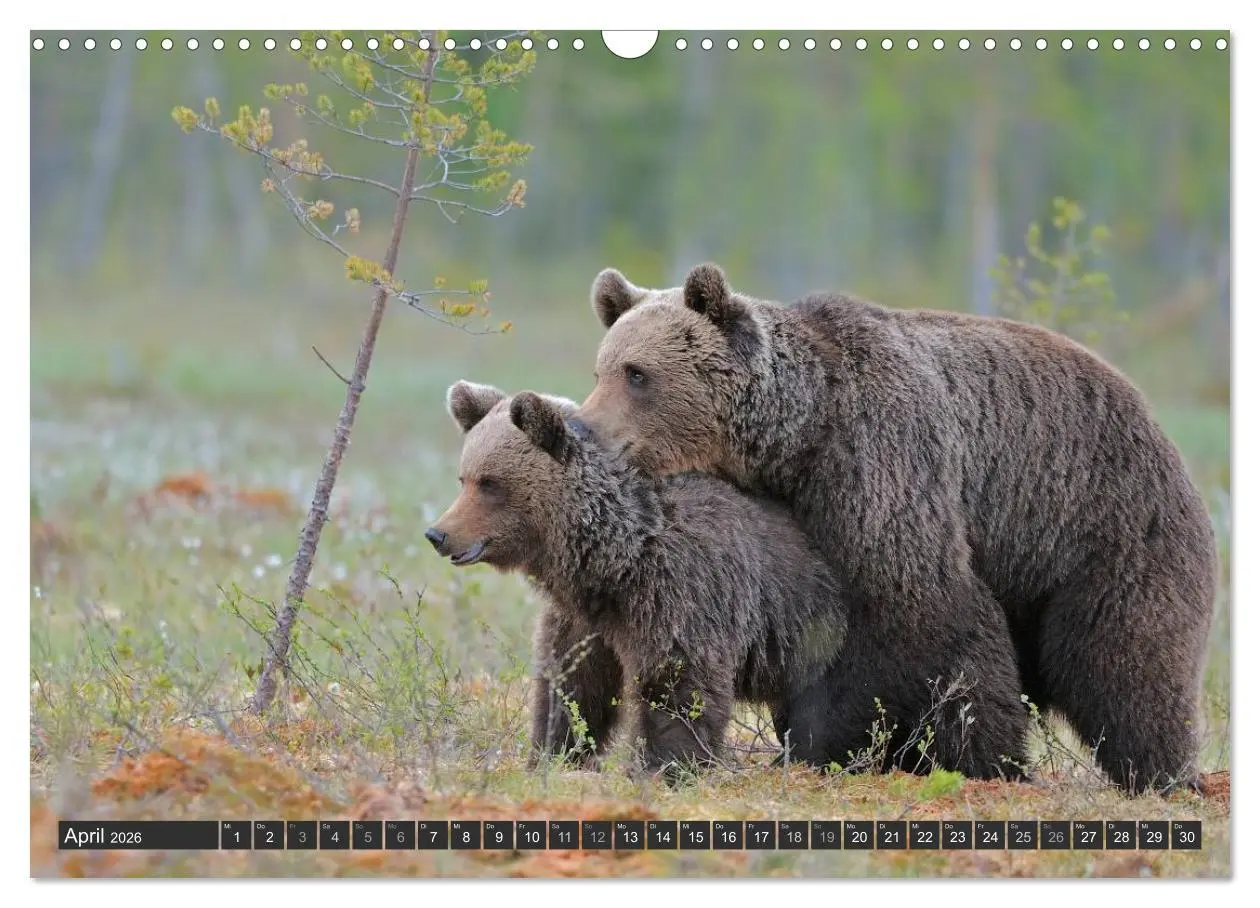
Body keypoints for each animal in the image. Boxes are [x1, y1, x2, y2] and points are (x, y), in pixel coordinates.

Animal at [426, 380, 852, 775]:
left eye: (490, 483)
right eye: (464, 478)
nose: (438, 534)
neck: (618, 556)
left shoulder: (683, 589)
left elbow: (676, 684)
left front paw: (667, 765)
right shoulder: (584, 617)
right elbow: (572, 683)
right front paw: (554, 753)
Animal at [574, 262, 1217, 792]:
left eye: (637, 373)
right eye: (601, 368)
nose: (584, 426)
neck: (797, 439)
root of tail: (1159, 430)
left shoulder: (882, 460)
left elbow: (919, 614)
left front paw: (917, 750)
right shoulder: (796, 517)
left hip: (1098, 529)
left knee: (1124, 660)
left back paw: (1161, 771)